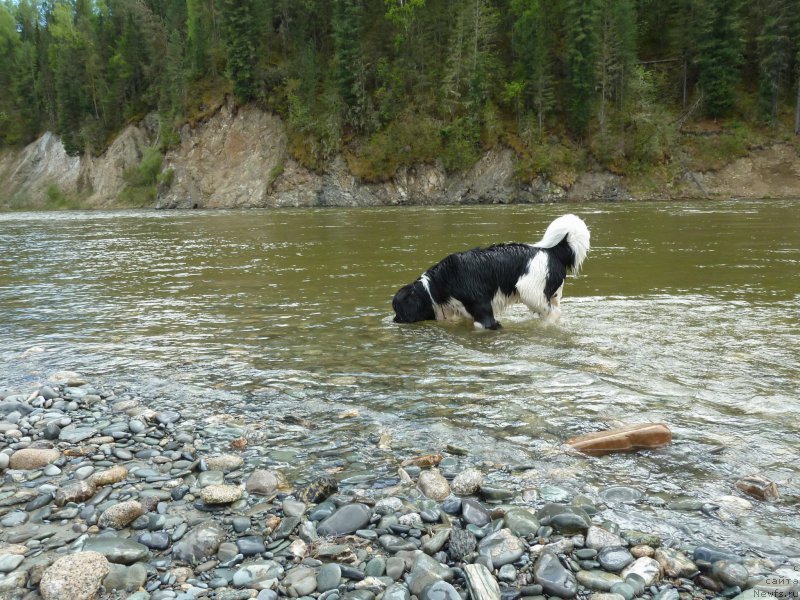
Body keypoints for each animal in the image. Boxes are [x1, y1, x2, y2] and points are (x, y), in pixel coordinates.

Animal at [390, 214, 592, 328]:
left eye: (400, 309)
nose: (394, 321)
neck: (436, 286)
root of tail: (551, 251)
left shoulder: (482, 309)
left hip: (530, 293)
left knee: (553, 314)